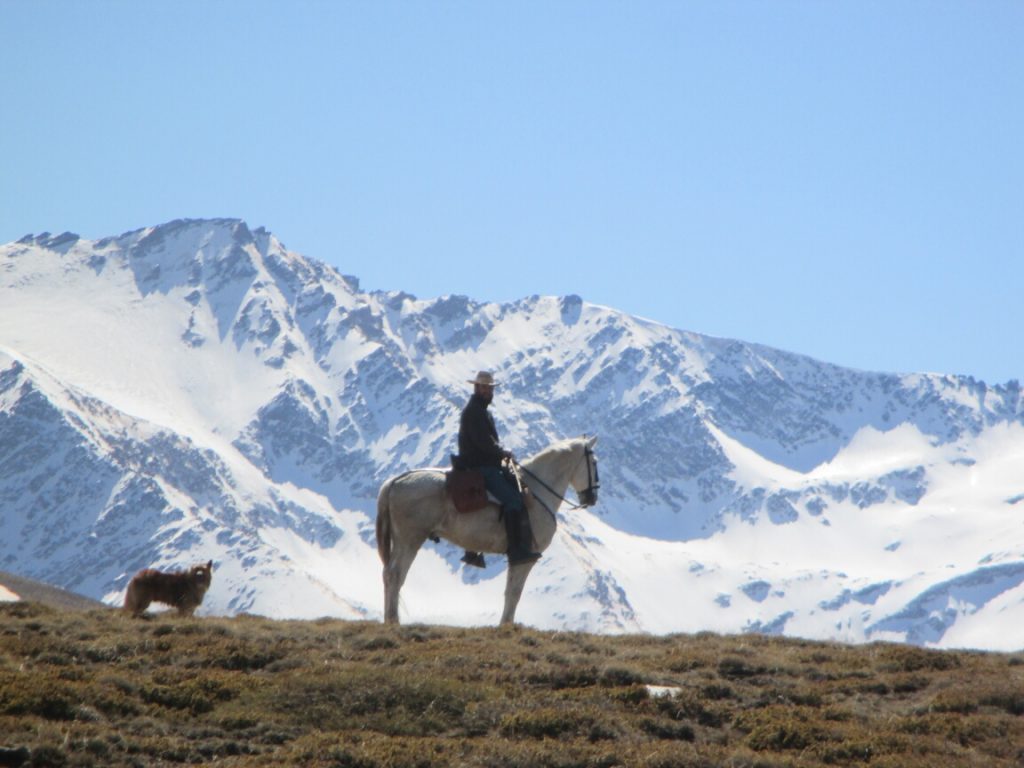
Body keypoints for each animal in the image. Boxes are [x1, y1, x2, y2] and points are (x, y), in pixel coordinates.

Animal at [376, 438, 598, 626]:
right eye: (594, 463)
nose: (592, 497)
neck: (536, 492)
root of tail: (394, 481)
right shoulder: (526, 557)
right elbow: (514, 592)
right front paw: (506, 625)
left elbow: (510, 591)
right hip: (410, 540)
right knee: (395, 574)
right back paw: (393, 620)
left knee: (389, 574)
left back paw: (389, 619)